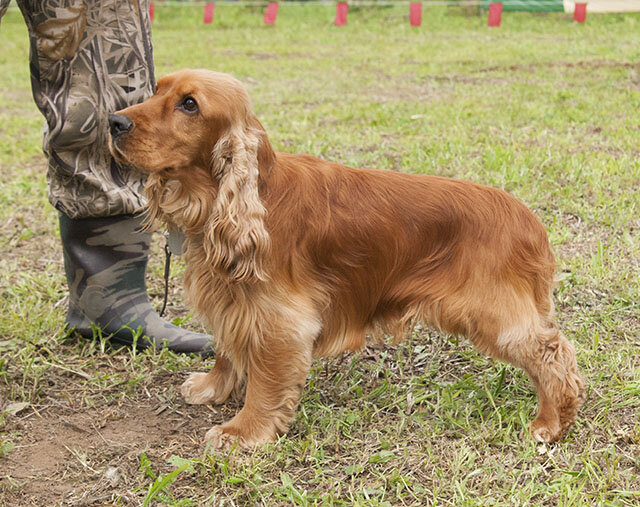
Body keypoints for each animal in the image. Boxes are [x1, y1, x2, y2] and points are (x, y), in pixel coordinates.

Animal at [109, 68, 584, 448]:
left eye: (189, 104)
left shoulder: (280, 318)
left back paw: (551, 423)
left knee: (554, 354)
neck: (249, 196)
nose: (113, 122)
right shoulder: (234, 301)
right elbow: (227, 348)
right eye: (156, 89)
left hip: (493, 312)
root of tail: (529, 220)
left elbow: (264, 382)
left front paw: (242, 431)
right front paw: (212, 387)